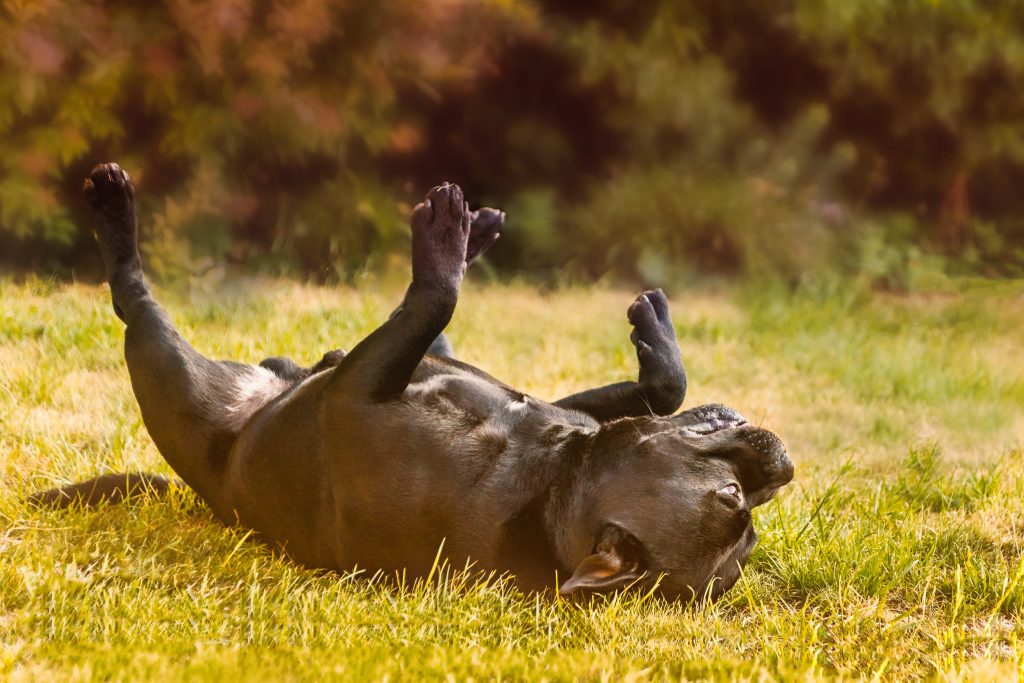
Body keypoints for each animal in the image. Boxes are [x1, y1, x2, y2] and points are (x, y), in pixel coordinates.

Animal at [36, 162, 790, 602]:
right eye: (738, 505)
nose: (780, 470)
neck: (549, 482)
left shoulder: (356, 392)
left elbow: (434, 299)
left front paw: (440, 251)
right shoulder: (554, 407)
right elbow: (665, 389)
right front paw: (658, 343)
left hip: (173, 378)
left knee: (134, 304)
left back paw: (115, 217)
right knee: (435, 340)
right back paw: (475, 233)